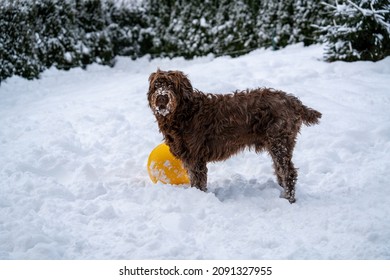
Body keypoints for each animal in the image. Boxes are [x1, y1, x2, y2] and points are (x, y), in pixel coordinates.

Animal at [148, 69, 322, 202]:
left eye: (171, 85)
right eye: (157, 85)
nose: (162, 98)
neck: (184, 113)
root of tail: (293, 101)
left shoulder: (196, 156)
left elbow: (198, 181)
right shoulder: (189, 156)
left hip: (279, 142)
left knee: (289, 172)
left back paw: (288, 198)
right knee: (280, 170)